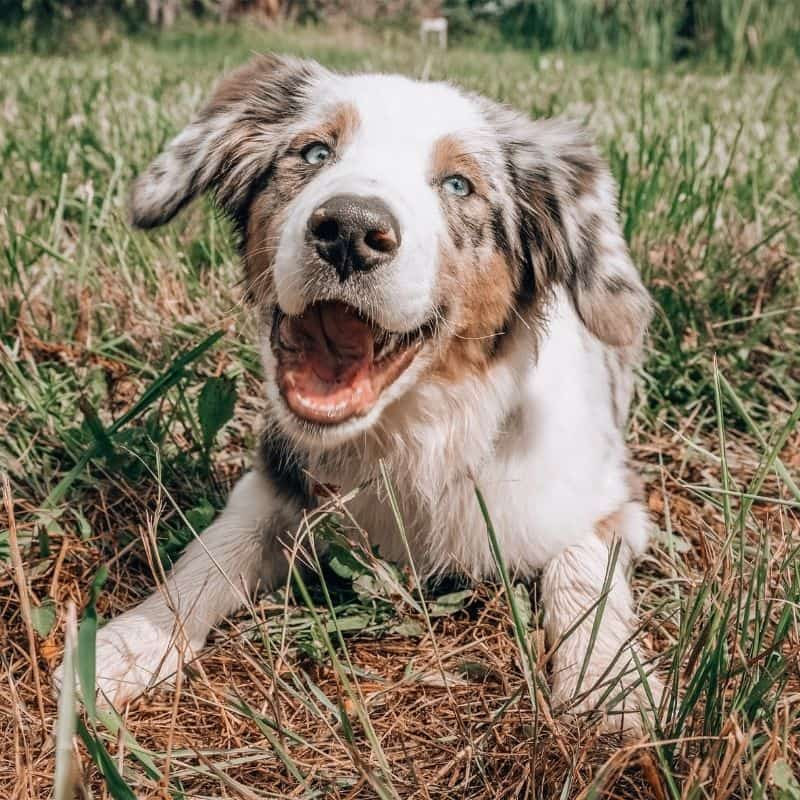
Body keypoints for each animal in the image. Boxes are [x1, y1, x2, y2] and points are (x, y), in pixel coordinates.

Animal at [56, 53, 664, 732]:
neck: (412, 436)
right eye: (315, 152)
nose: (349, 229)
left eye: (459, 185)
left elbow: (583, 576)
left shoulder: (608, 497)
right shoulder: (274, 481)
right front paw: (127, 645)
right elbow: (210, 555)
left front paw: (612, 688)